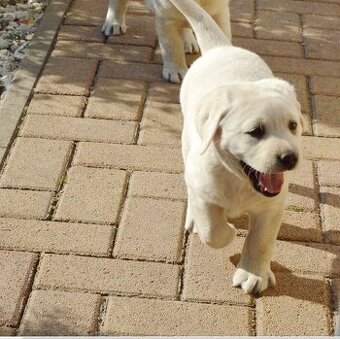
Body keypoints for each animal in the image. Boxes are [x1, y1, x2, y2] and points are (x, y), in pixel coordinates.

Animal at [101, 0, 231, 83]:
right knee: (118, 3)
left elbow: (222, 33)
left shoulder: (220, 12)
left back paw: (188, 41)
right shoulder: (166, 18)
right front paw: (176, 72)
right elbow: (172, 46)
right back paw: (114, 24)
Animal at [170, 0, 302, 294]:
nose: (290, 158)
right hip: (187, 143)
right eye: (255, 132)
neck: (239, 180)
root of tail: (220, 48)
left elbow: (261, 240)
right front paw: (226, 231)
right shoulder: (203, 188)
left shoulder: (272, 206)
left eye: (293, 126)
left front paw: (253, 273)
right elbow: (213, 231)